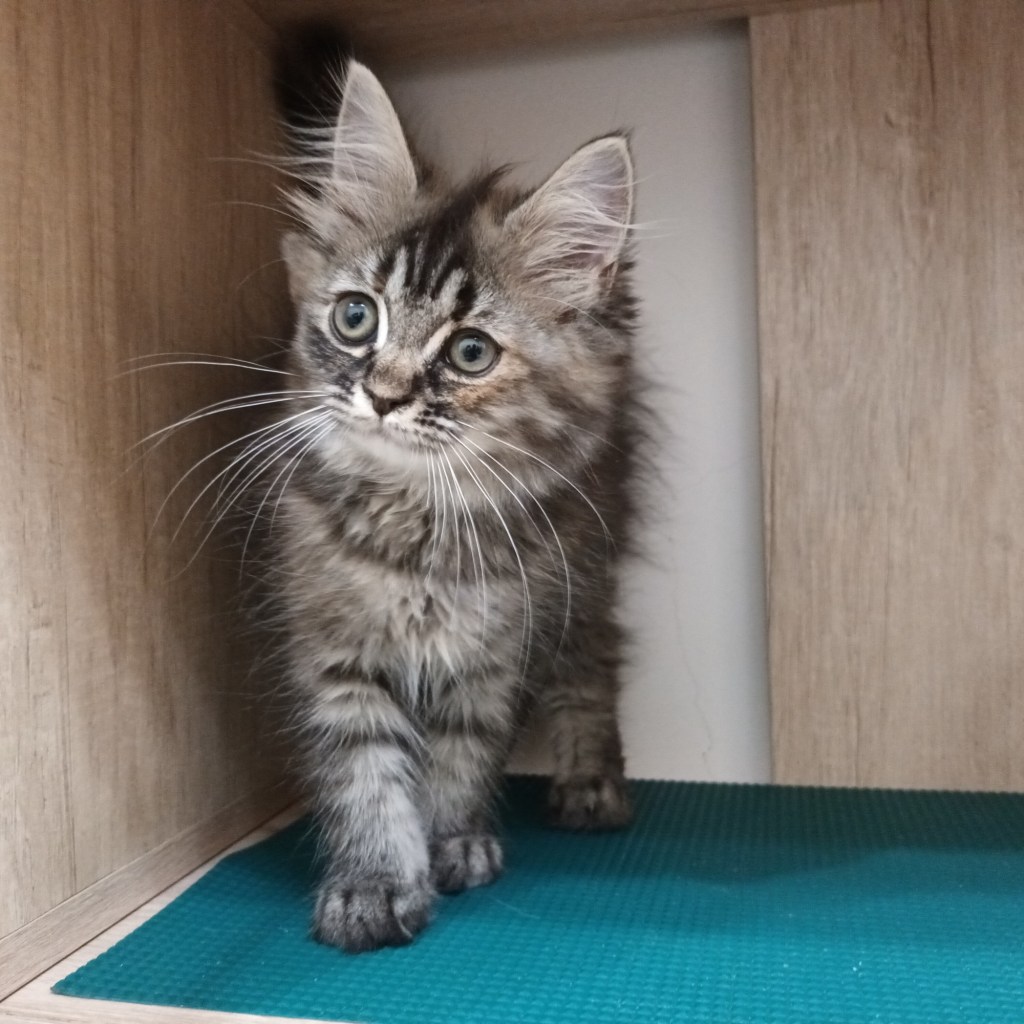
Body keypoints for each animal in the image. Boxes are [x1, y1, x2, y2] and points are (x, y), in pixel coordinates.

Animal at [267, 36, 643, 953]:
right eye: (356, 318)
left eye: (471, 353)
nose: (384, 396)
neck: (415, 527)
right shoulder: (332, 648)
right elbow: (363, 770)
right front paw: (372, 885)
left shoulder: (498, 651)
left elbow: (461, 753)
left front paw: (452, 841)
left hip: (591, 560)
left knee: (595, 656)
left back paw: (590, 783)